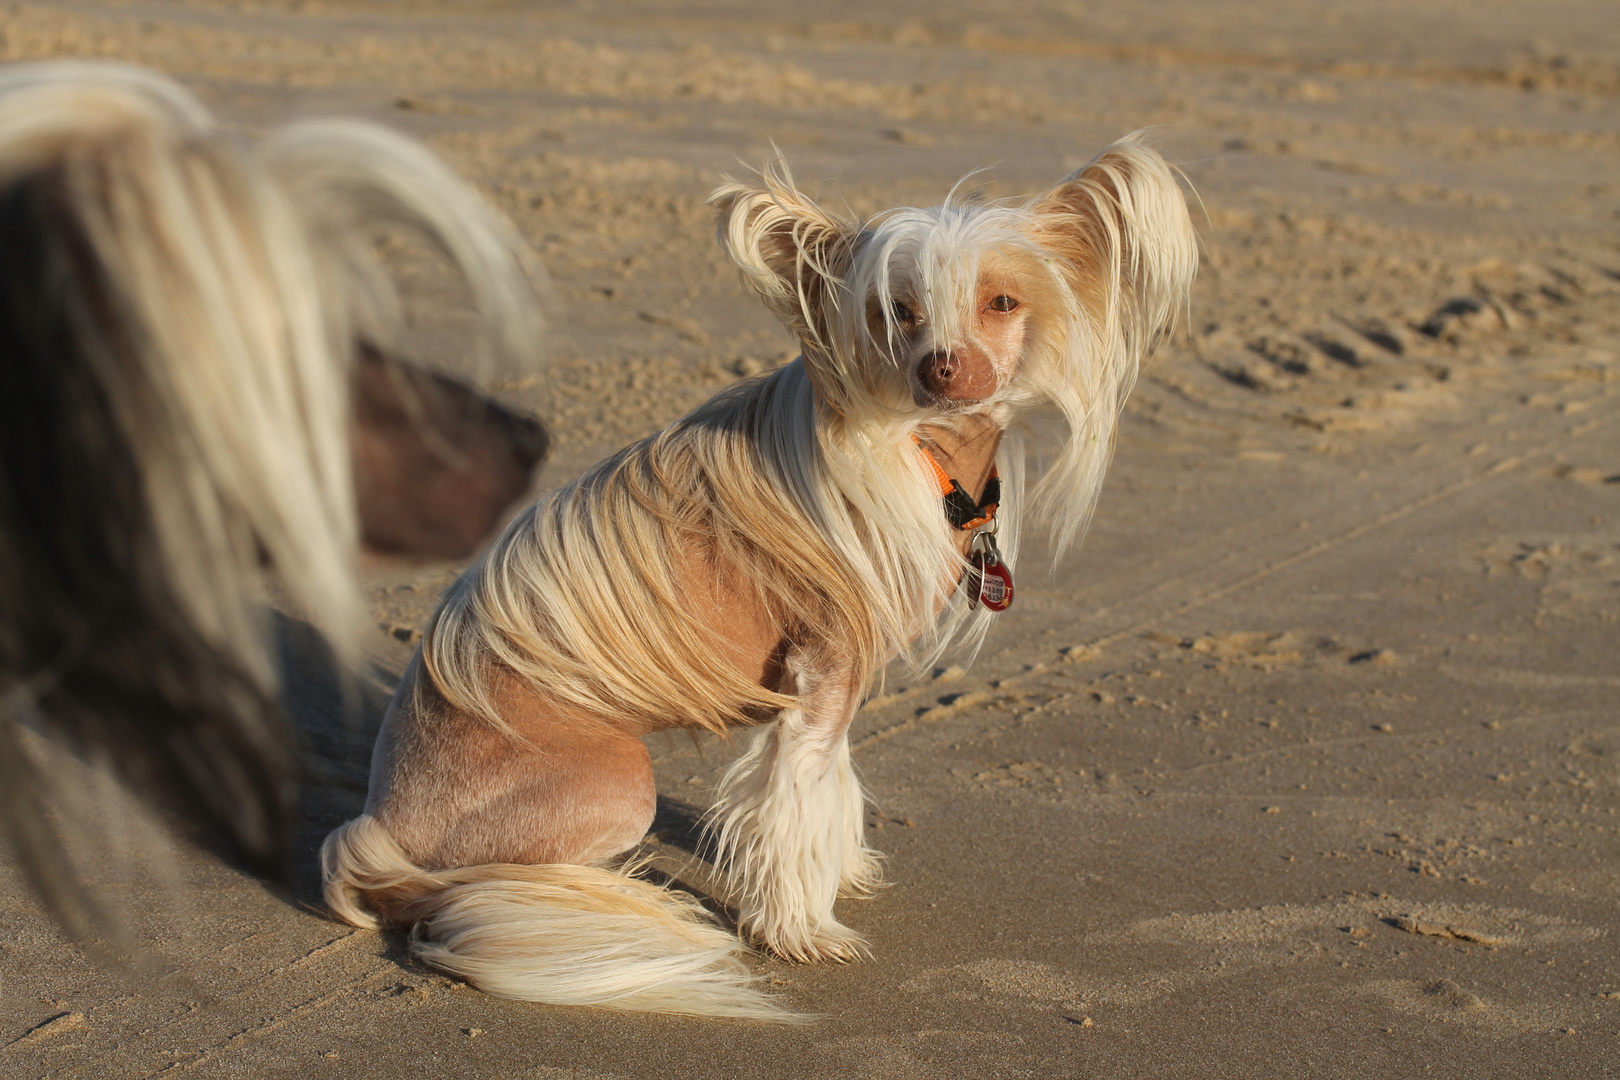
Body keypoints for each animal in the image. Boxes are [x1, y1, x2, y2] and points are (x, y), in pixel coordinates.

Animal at [322, 131, 1198, 1016]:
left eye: (1002, 302)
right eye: (899, 311)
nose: (941, 370)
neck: (922, 446)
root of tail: (376, 821)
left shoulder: (837, 680)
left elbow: (829, 784)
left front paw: (840, 873)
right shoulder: (823, 671)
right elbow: (797, 794)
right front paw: (800, 930)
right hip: (620, 782)